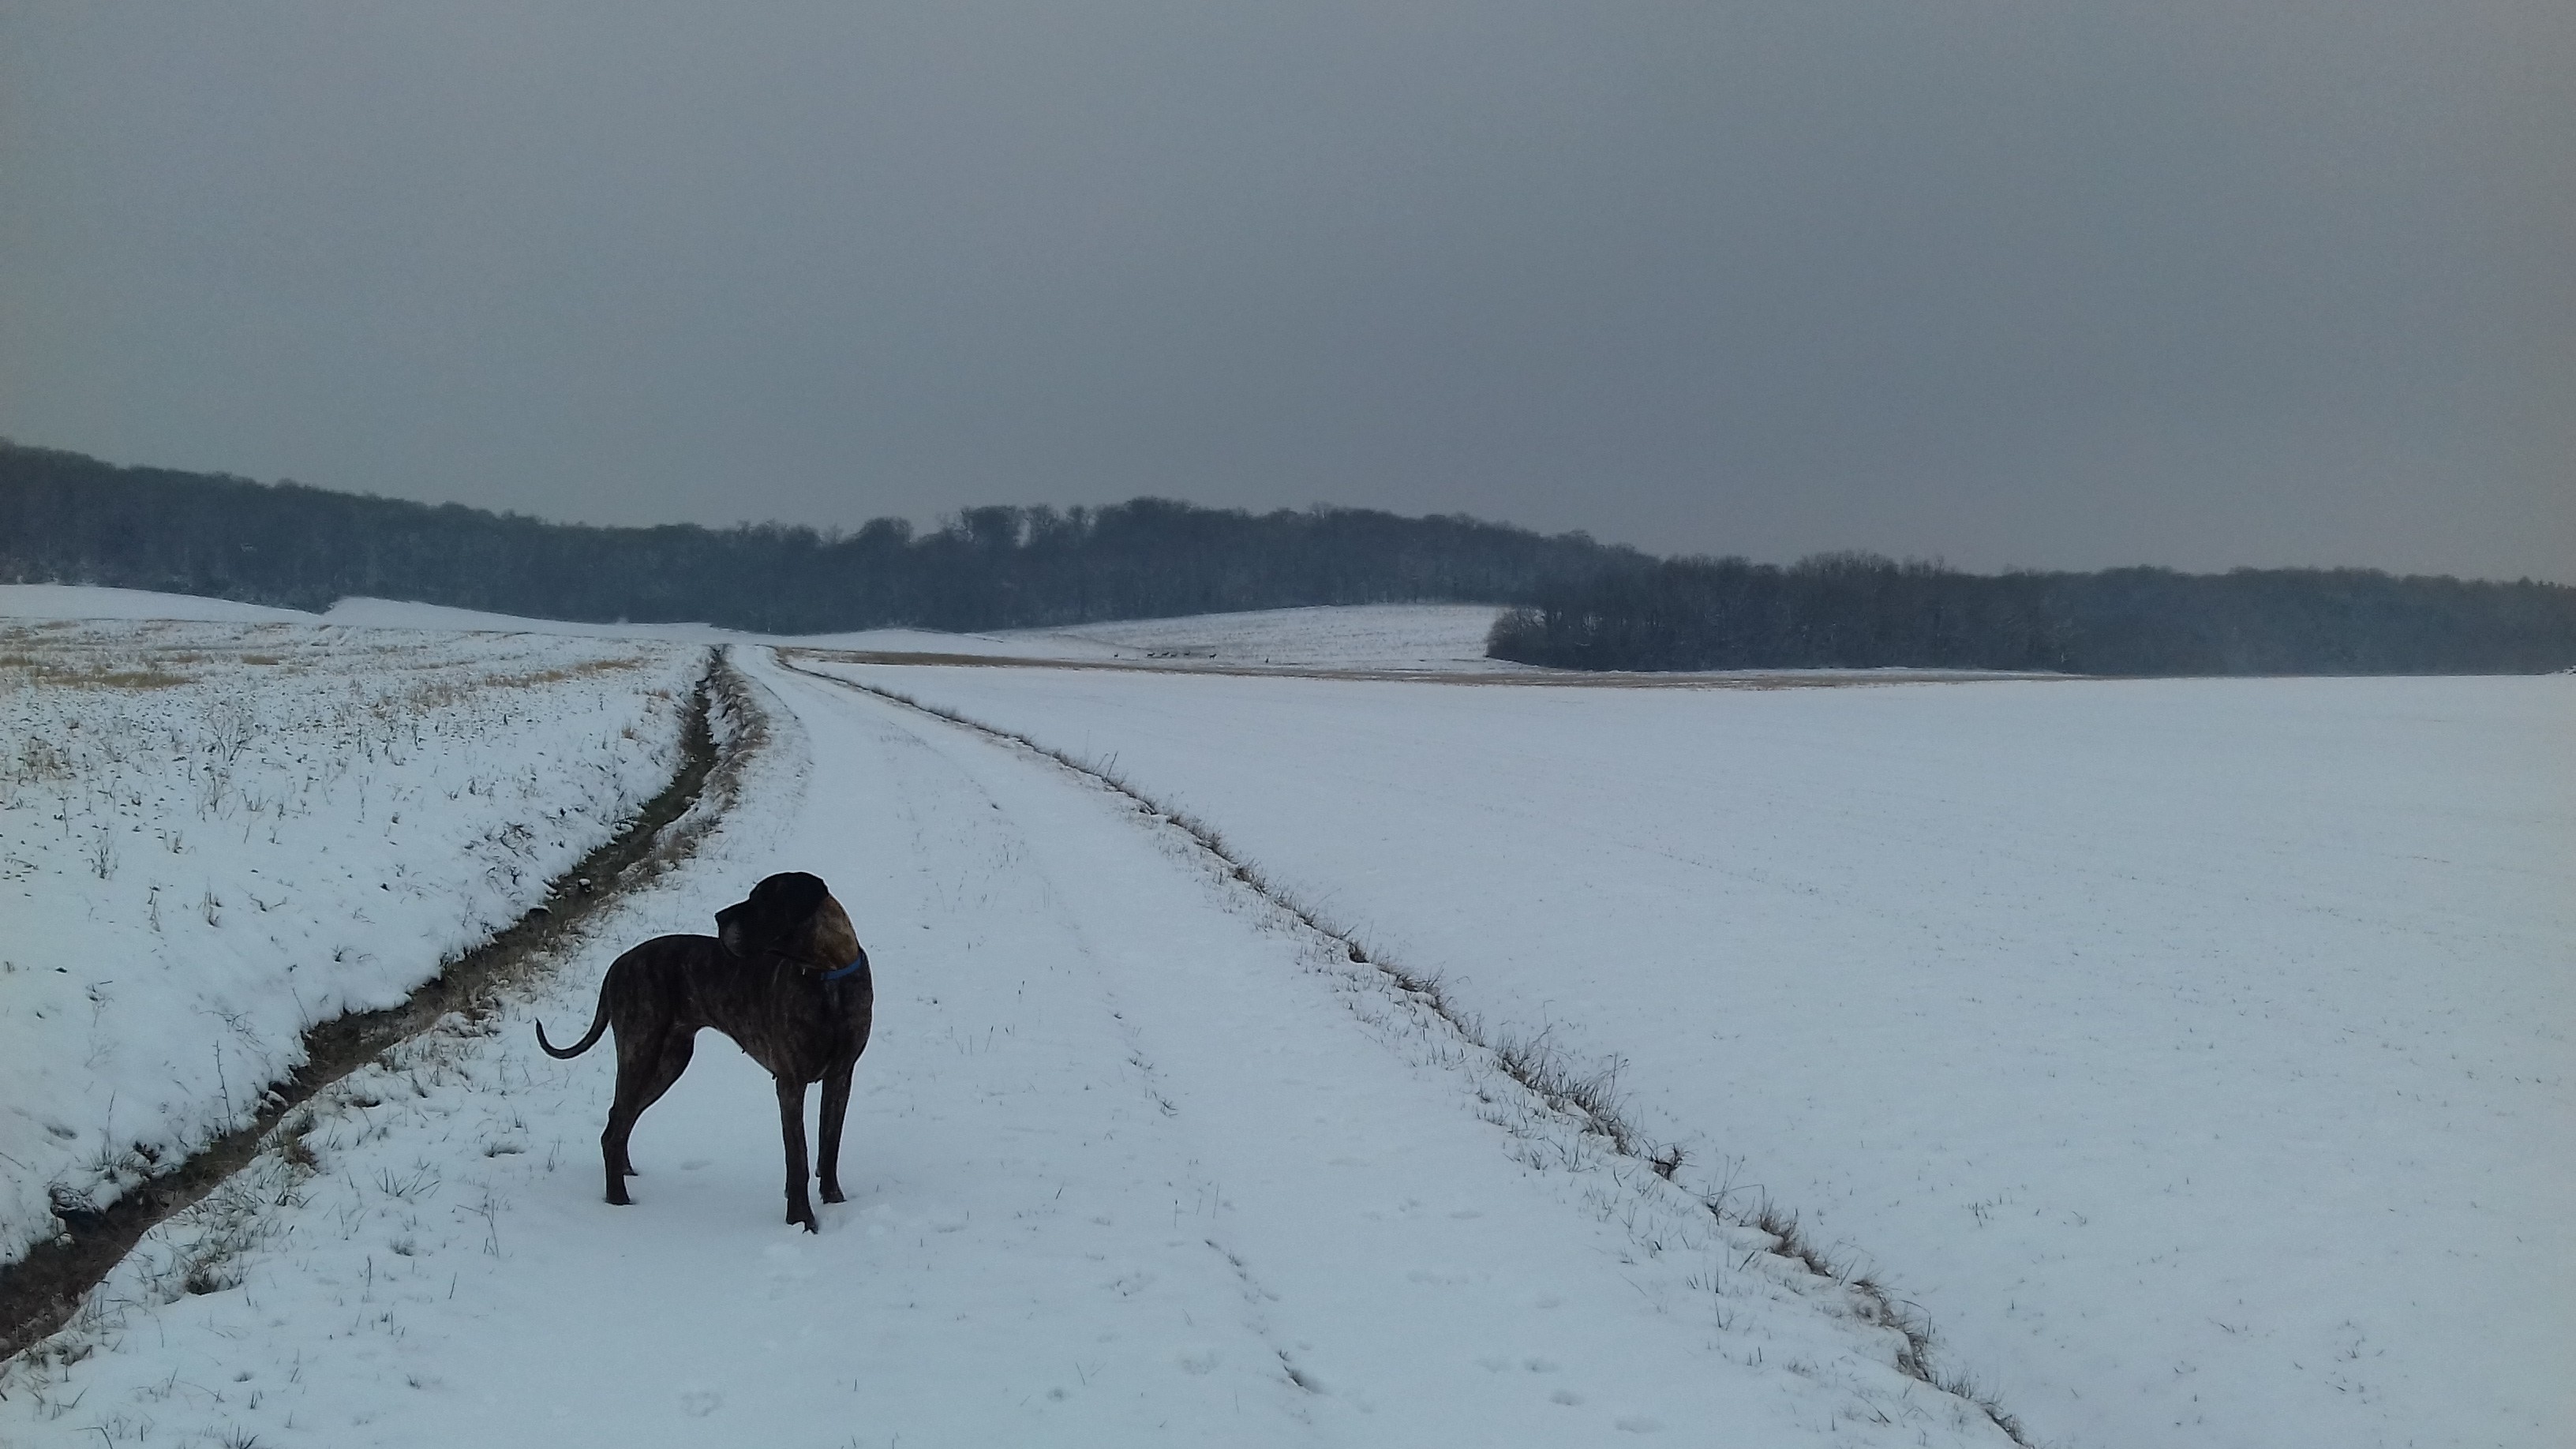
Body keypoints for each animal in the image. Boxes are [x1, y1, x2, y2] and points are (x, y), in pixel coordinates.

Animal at [535, 866, 875, 1227]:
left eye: (762, 899)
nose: (719, 917)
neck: (828, 976)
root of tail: (617, 964)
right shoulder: (790, 1083)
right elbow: (798, 1155)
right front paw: (801, 1220)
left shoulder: (840, 1076)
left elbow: (830, 1144)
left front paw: (834, 1201)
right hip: (642, 1051)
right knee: (615, 1127)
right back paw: (618, 1200)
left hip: (668, 1061)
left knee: (619, 1118)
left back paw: (624, 1171)